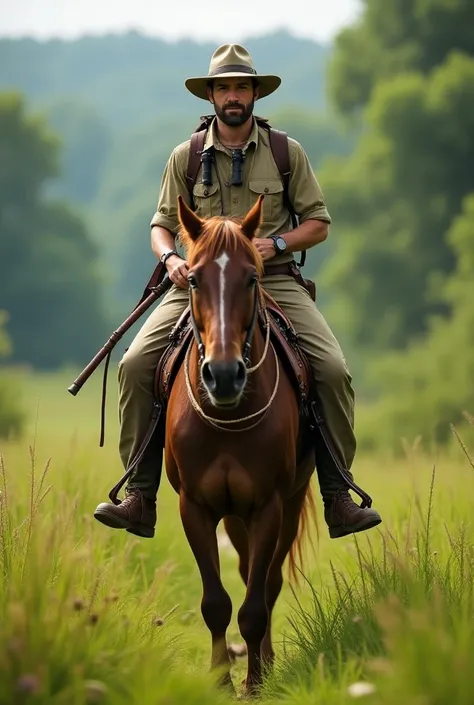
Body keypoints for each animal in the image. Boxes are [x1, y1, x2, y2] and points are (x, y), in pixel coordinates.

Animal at [165, 195, 316, 696]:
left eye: (252, 278)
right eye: (193, 278)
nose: (225, 374)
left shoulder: (268, 505)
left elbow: (255, 603)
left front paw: (254, 683)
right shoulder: (195, 506)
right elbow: (216, 602)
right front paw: (220, 683)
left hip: (288, 504)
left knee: (265, 582)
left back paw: (264, 664)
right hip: (233, 515)